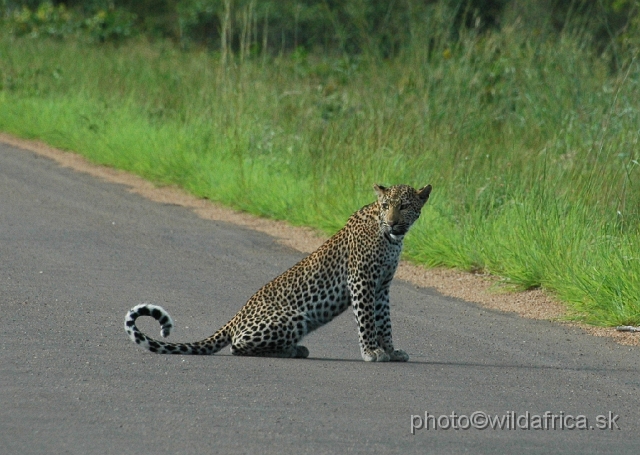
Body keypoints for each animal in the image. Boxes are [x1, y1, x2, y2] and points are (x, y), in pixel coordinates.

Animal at [124, 183, 436, 362]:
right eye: (386, 206)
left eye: (404, 206)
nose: (393, 222)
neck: (391, 239)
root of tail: (236, 317)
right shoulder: (361, 281)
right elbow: (367, 321)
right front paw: (372, 352)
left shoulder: (382, 287)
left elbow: (385, 322)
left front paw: (392, 351)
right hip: (293, 317)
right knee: (236, 346)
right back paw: (291, 350)